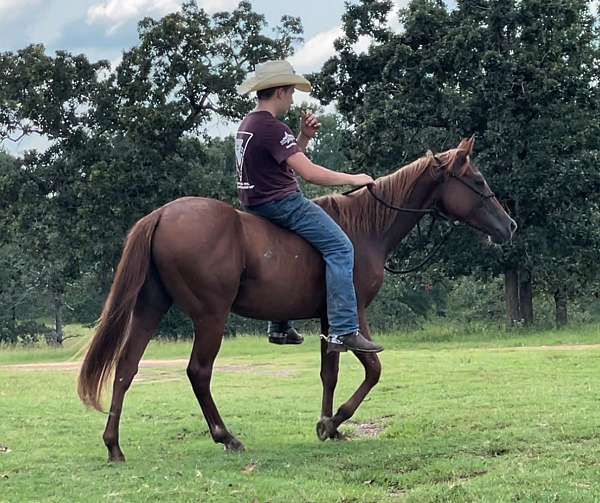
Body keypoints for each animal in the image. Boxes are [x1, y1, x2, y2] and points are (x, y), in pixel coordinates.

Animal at [75, 137, 516, 460]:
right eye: (478, 181)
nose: (509, 225)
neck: (366, 229)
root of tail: (163, 214)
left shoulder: (329, 320)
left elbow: (329, 373)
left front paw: (328, 424)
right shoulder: (354, 313)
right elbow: (373, 368)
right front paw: (333, 422)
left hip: (150, 308)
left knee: (126, 368)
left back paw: (114, 445)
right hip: (211, 316)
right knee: (198, 372)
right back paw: (225, 436)